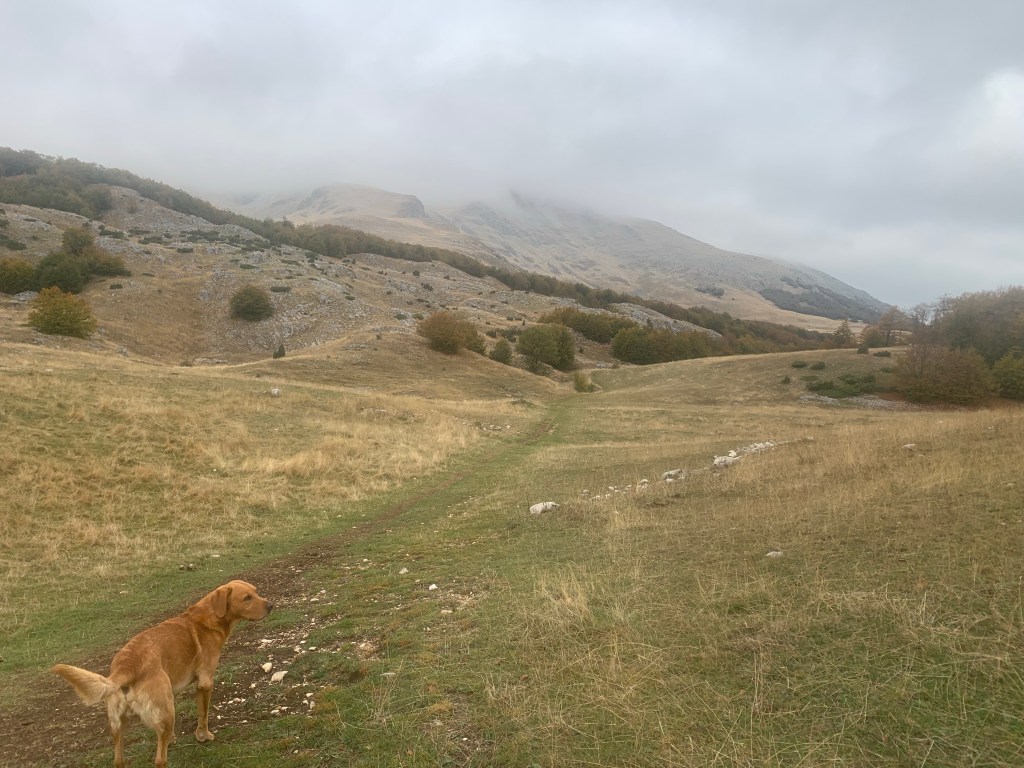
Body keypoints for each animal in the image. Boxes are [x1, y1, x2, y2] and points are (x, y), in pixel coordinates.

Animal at [53, 580, 272, 768]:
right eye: (247, 598)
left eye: (256, 592)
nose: (270, 605)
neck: (207, 619)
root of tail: (126, 667)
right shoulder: (205, 682)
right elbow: (203, 714)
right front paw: (204, 736)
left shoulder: (170, 694)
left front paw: (173, 739)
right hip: (159, 716)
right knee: (160, 761)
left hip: (119, 725)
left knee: (118, 760)